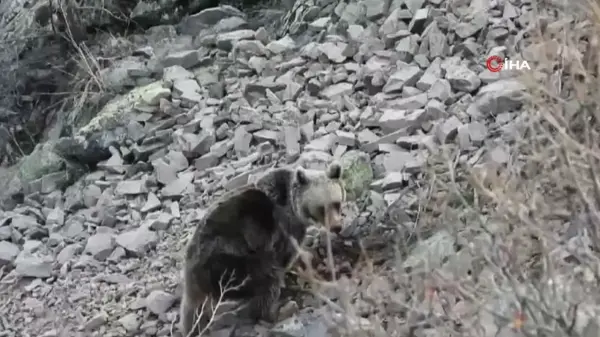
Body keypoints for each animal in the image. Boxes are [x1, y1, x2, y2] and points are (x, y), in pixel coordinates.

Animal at [180, 161, 344, 334]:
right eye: (321, 208)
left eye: (336, 203)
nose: (336, 226)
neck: (293, 205)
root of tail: (195, 270)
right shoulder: (283, 229)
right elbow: (285, 257)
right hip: (235, 259)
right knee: (267, 280)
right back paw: (274, 311)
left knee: (190, 308)